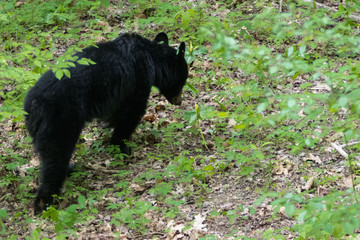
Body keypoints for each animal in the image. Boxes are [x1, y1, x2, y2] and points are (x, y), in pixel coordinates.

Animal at [24, 31, 188, 214]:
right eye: (184, 79)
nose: (179, 101)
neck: (151, 56)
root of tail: (33, 105)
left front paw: (108, 125)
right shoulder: (138, 80)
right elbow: (131, 113)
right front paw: (122, 146)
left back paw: (69, 169)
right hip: (60, 119)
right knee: (55, 157)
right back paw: (45, 203)